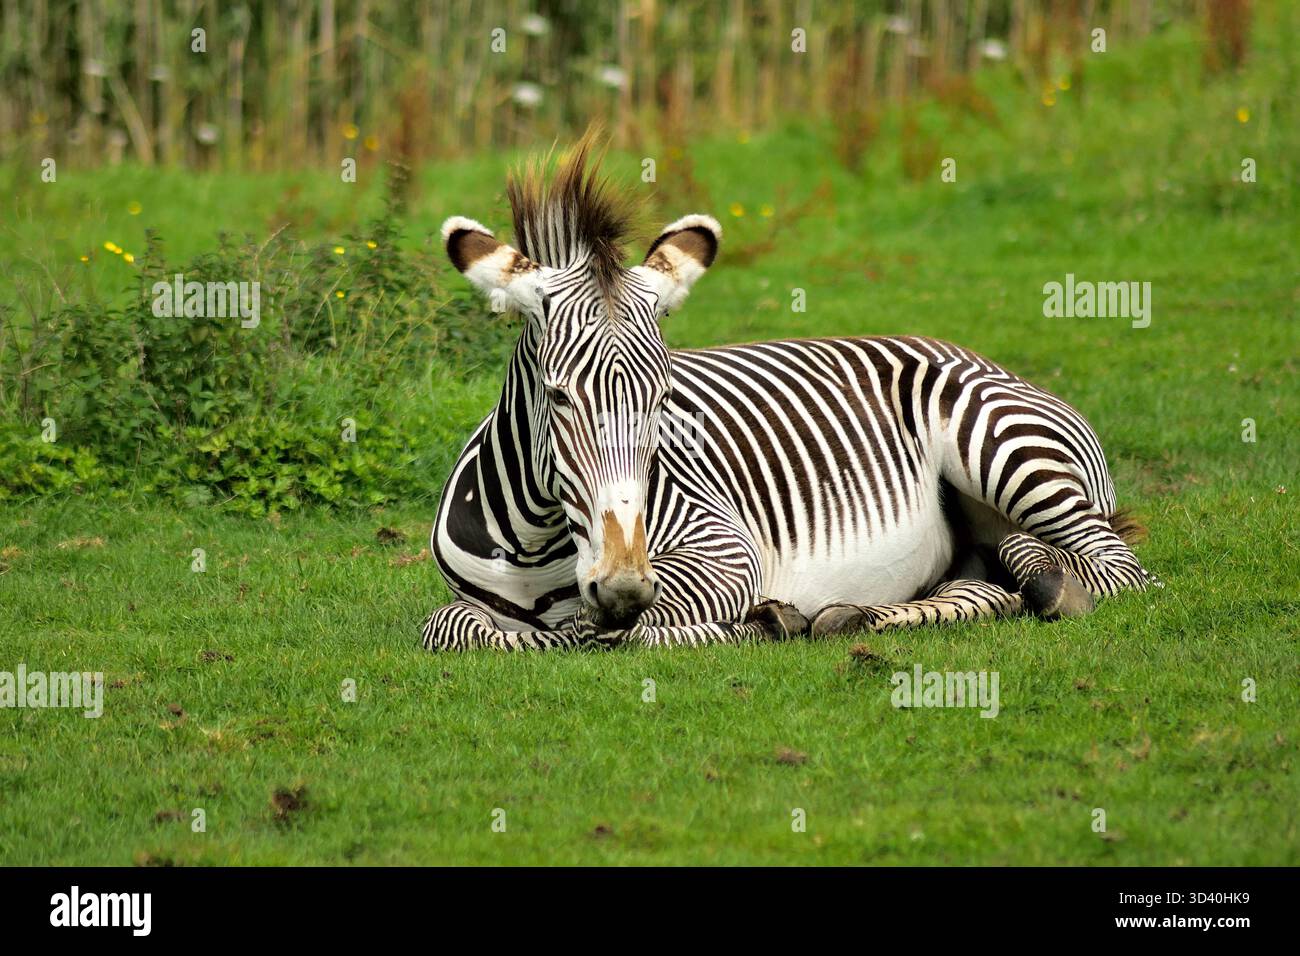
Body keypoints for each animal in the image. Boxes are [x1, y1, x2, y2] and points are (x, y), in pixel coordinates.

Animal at [420, 133, 1158, 651]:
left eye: (662, 398)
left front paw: (751, 622)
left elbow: (600, 630)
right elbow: (449, 626)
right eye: (559, 398)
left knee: (1117, 569)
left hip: (1005, 453)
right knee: (990, 589)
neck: (538, 547)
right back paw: (855, 615)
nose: (625, 586)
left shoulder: (723, 549)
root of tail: (969, 354)